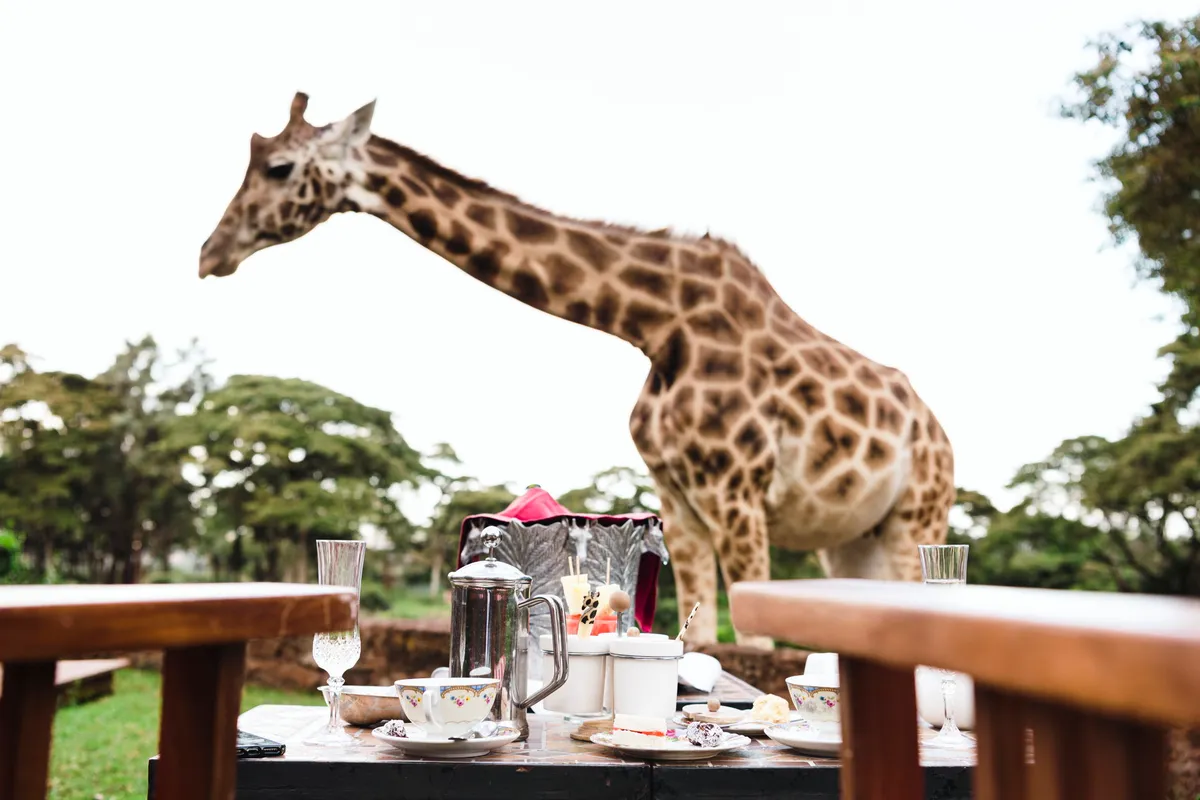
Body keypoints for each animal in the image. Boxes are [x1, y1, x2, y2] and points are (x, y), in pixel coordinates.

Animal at [198, 94, 955, 647]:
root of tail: (939, 435)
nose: (210, 252)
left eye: (279, 168)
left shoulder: (738, 494)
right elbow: (705, 635)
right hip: (853, 540)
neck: (655, 325)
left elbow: (754, 643)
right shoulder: (683, 499)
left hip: (918, 513)